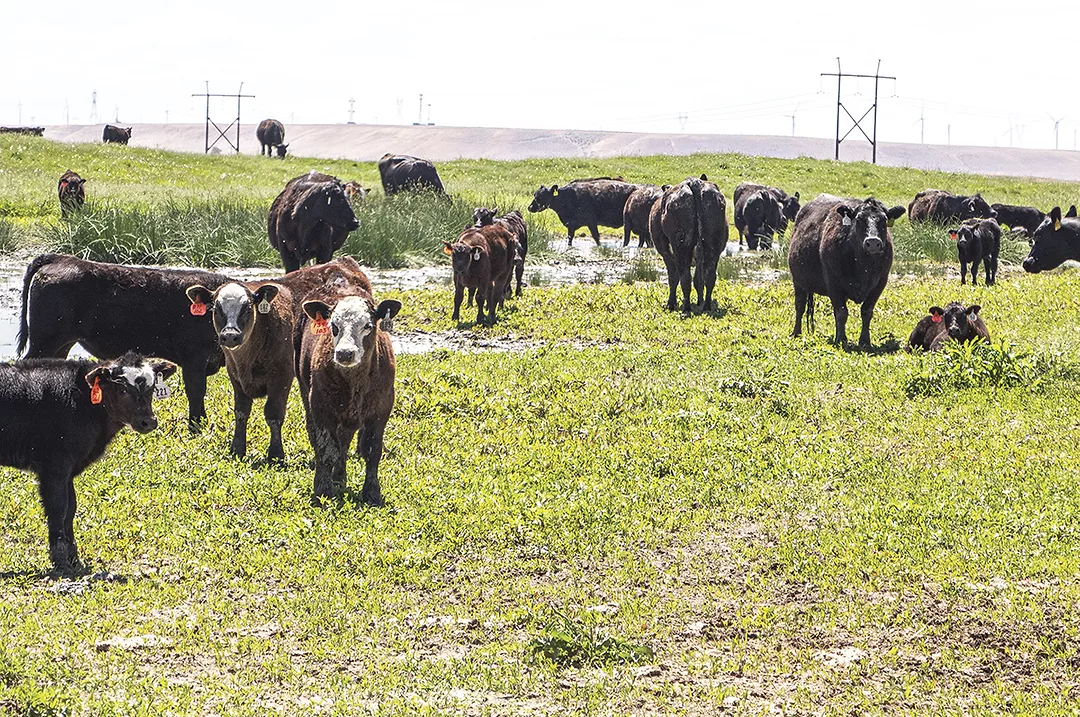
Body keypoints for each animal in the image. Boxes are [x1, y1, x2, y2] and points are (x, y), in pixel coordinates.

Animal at [0, 353, 177, 572]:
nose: (148, 422)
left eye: (152, 389)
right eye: (122, 390)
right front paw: (61, 563)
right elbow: (58, 508)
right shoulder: (55, 466)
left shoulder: (68, 470)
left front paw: (74, 560)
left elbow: (71, 508)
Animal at [17, 254, 230, 432]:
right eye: (217, 308)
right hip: (44, 341)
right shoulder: (193, 357)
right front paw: (196, 427)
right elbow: (196, 391)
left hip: (61, 344)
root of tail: (62, 258)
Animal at [294, 284, 401, 506]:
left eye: (367, 325)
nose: (345, 353)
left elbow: (372, 450)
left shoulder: (381, 410)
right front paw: (323, 490)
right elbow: (326, 449)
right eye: (333, 326)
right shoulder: (320, 407)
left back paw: (339, 476)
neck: (355, 383)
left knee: (344, 440)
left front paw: (372, 493)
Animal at [649, 175, 728, 313]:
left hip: (681, 246)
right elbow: (698, 280)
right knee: (709, 277)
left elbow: (673, 278)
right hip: (712, 245)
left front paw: (671, 303)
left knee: (685, 278)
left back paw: (686, 308)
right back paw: (706, 306)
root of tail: (693, 182)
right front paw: (699, 302)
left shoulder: (666, 254)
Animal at [788, 195, 906, 347]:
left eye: (884, 220)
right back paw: (796, 332)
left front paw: (864, 340)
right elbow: (842, 312)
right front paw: (841, 339)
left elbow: (866, 311)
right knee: (800, 305)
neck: (863, 266)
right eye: (858, 219)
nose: (873, 242)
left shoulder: (880, 282)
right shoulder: (833, 282)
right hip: (798, 281)